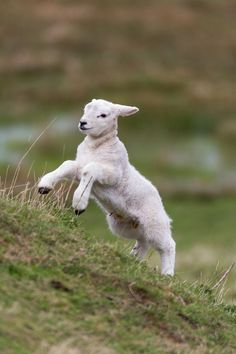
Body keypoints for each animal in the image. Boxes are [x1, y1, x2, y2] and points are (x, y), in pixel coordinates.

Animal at [38, 98, 175, 276]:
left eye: (103, 115)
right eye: (85, 109)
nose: (82, 123)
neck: (96, 146)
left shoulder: (113, 174)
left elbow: (91, 169)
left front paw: (79, 204)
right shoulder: (78, 167)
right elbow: (66, 165)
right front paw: (44, 186)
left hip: (154, 222)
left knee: (167, 245)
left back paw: (167, 274)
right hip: (125, 226)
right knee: (143, 241)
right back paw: (134, 260)